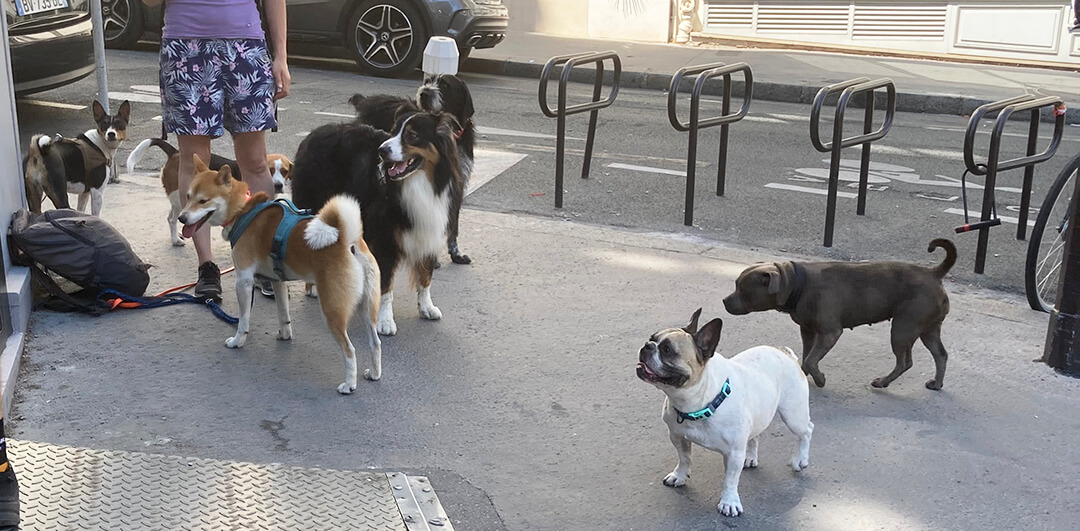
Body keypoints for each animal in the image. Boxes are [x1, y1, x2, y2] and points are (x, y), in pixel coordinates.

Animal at [126, 135, 293, 246]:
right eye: (271, 170)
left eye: (284, 171)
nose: (278, 185)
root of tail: (175, 152)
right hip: (180, 199)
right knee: (173, 219)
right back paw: (175, 240)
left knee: (169, 217)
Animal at [177, 154, 380, 395]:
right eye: (188, 197)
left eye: (203, 201)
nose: (181, 218)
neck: (243, 211)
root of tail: (347, 241)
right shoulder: (278, 281)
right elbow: (284, 314)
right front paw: (285, 334)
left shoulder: (243, 281)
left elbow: (244, 319)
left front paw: (238, 341)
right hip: (367, 307)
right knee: (375, 342)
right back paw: (374, 374)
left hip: (333, 310)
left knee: (350, 350)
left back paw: (349, 384)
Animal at [289, 112, 462, 336]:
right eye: (394, 132)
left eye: (412, 135)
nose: (382, 150)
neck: (420, 182)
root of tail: (313, 134)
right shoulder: (385, 240)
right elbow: (386, 285)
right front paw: (385, 320)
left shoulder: (428, 231)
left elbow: (425, 277)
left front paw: (426, 307)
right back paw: (313, 287)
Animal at [349, 73, 477, 264]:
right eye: (427, 81)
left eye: (445, 85)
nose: (424, 93)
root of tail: (367, 100)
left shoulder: (456, 183)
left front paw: (455, 253)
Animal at [725, 239, 954, 390]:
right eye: (735, 284)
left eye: (743, 289)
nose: (725, 301)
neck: (798, 284)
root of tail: (933, 273)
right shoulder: (807, 330)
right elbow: (807, 356)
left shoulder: (830, 333)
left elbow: (811, 360)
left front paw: (819, 379)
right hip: (929, 328)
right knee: (940, 354)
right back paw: (937, 383)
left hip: (902, 329)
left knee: (905, 362)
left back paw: (883, 381)